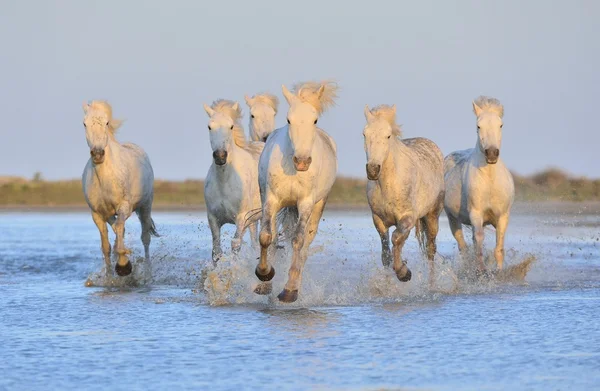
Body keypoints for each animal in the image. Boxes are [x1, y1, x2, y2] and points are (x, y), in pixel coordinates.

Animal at [81, 101, 159, 278]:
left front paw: (124, 266)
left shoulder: (124, 207)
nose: (97, 154)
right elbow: (106, 246)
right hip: (110, 214)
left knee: (145, 237)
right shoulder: (97, 214)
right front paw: (110, 276)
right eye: (84, 124)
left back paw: (148, 271)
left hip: (145, 206)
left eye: (106, 123)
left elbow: (119, 229)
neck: (105, 178)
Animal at [203, 99, 264, 264]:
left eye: (231, 126)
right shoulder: (213, 218)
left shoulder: (241, 218)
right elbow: (216, 251)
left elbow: (235, 245)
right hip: (254, 220)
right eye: (209, 126)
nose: (220, 156)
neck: (225, 182)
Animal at [252, 80, 338, 304]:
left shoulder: (306, 203)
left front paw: (289, 291)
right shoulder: (271, 200)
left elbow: (298, 241)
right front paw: (264, 275)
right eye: (288, 120)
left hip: (317, 207)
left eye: (315, 119)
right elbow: (266, 236)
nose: (302, 162)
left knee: (305, 245)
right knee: (273, 237)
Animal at [360, 102, 446, 284]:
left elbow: (396, 238)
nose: (373, 169)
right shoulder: (378, 220)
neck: (389, 185)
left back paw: (431, 284)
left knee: (430, 250)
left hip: (432, 216)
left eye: (388, 136)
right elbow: (386, 254)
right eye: (364, 134)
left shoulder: (408, 218)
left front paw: (404, 273)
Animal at [442, 97, 512, 274]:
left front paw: (499, 272)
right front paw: (481, 271)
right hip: (453, 219)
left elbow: (499, 247)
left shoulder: (503, 216)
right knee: (464, 246)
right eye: (478, 126)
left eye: (501, 125)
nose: (492, 154)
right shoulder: (476, 214)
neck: (490, 181)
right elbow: (479, 242)